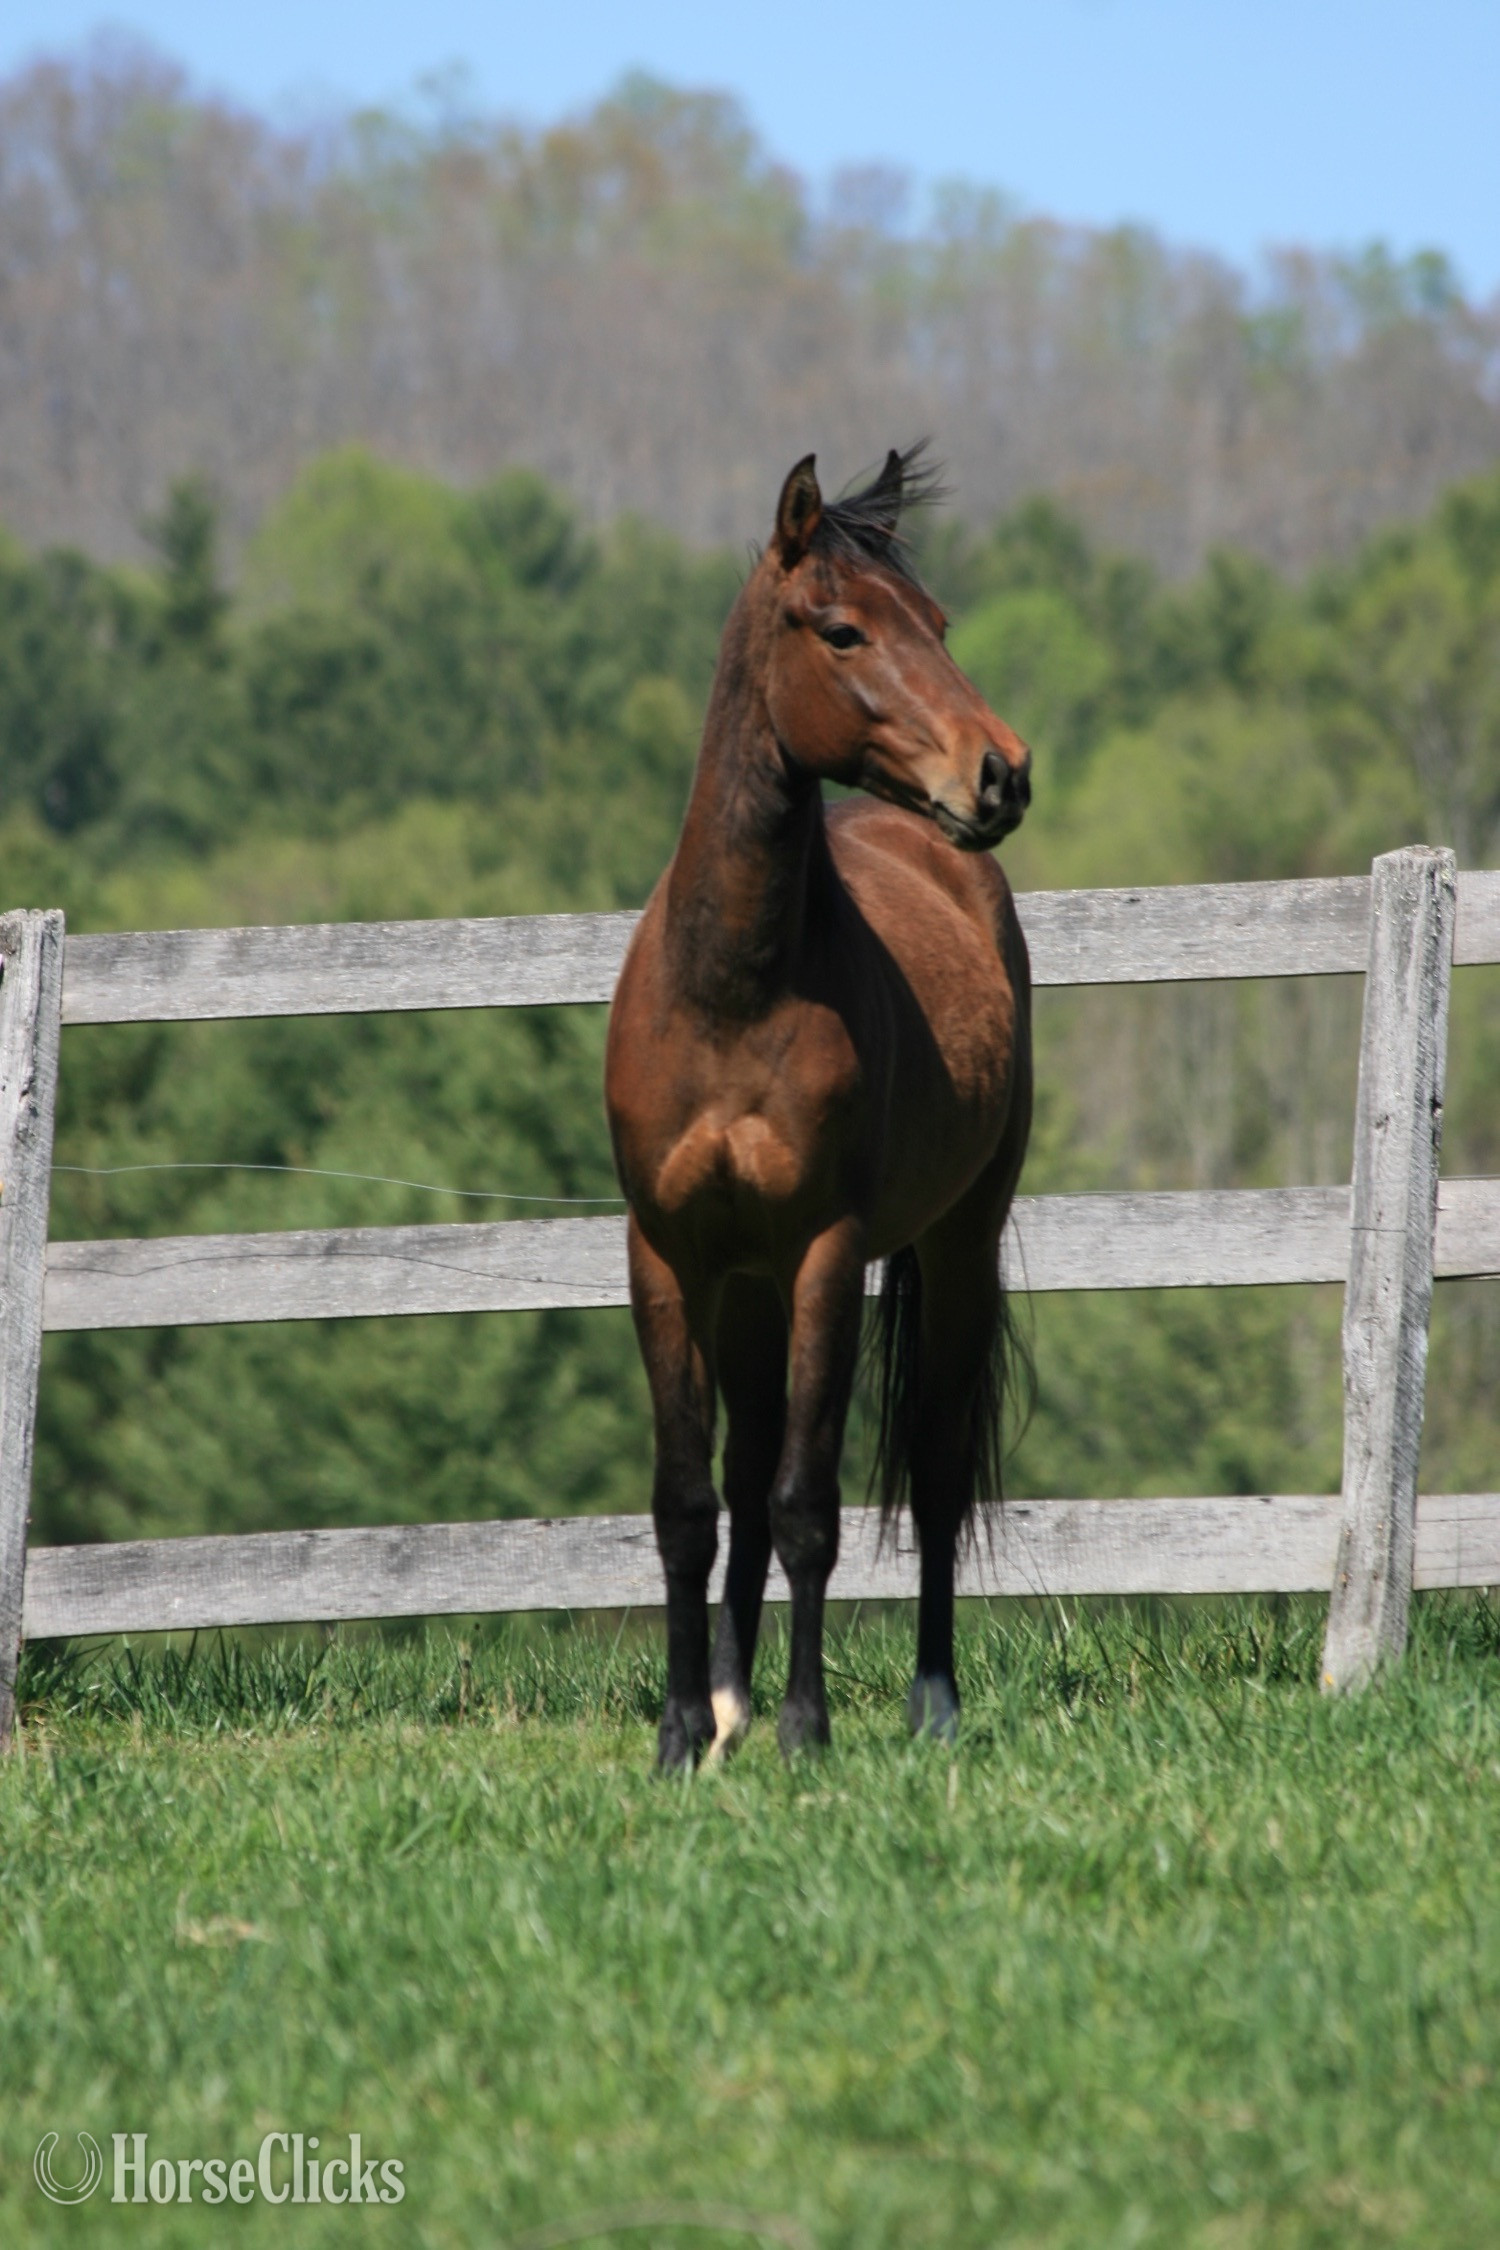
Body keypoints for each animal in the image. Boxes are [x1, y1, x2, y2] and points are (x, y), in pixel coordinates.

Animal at [604, 446, 1033, 1768]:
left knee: (934, 1472)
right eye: (842, 630)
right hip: (744, 1286)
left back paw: (932, 1702)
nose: (1001, 771)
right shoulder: (670, 1255)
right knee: (740, 1480)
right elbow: (689, 1503)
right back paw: (729, 1700)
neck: (732, 992)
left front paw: (806, 1730)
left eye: (937, 622)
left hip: (958, 1243)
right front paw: (682, 1732)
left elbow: (808, 1506)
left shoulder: (826, 1257)